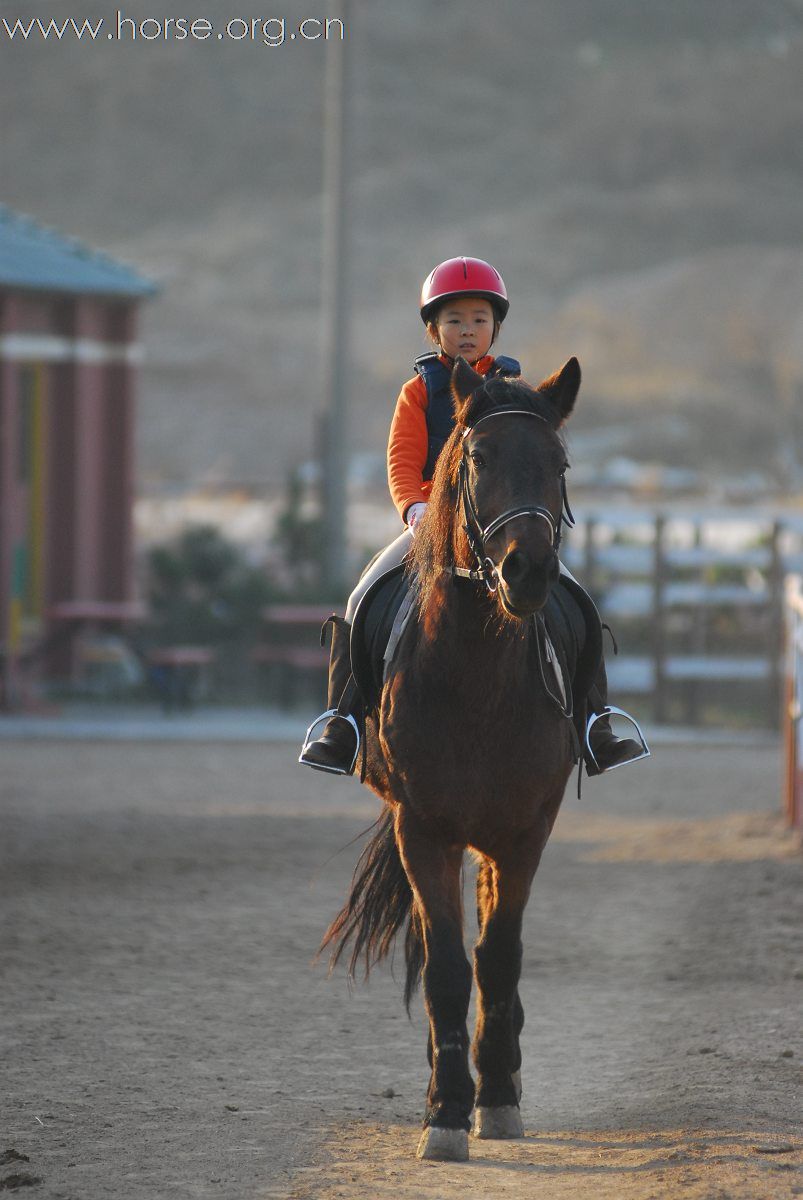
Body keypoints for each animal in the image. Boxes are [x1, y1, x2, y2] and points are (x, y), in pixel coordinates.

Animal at [321, 350, 578, 1156]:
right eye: (479, 457)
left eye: (559, 462)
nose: (527, 572)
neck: (475, 673)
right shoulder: (424, 829)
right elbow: (444, 967)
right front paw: (445, 1112)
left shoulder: (526, 830)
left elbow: (497, 958)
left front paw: (495, 1099)